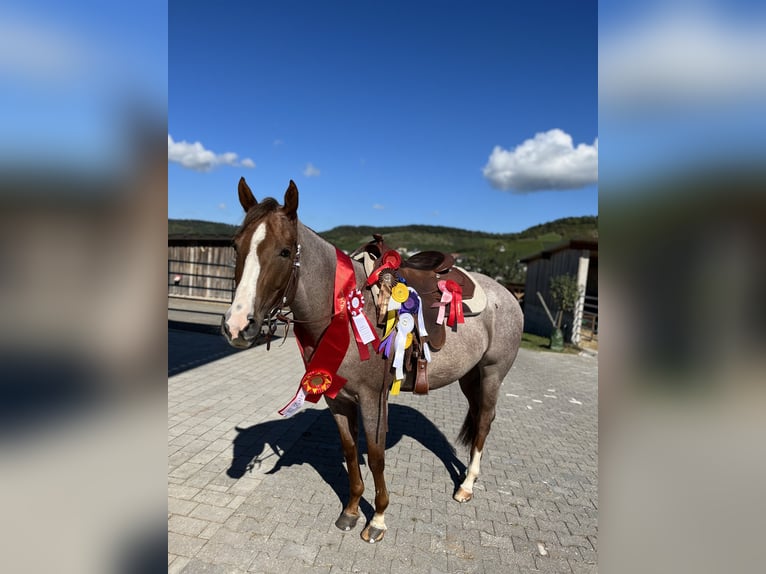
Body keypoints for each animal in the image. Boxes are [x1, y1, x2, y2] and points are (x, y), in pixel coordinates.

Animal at [219, 179, 524, 544]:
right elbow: (351, 452)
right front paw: (351, 511)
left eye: (284, 251)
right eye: (236, 246)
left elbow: (376, 457)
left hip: (492, 374)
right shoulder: (336, 398)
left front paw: (377, 519)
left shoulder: (372, 398)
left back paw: (466, 485)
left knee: (484, 422)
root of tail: (508, 296)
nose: (237, 326)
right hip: (469, 376)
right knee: (478, 417)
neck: (344, 311)